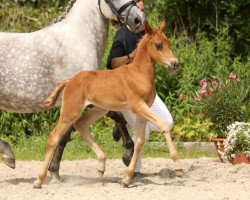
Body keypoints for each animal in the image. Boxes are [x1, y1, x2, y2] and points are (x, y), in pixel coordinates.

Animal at [0, 0, 146, 177]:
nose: (139, 19)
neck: (77, 41)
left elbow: (65, 135)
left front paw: (54, 170)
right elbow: (116, 116)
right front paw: (127, 153)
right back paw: (9, 156)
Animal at [33, 21, 182, 188]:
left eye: (168, 43)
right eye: (158, 45)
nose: (175, 64)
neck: (138, 74)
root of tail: (69, 80)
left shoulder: (143, 111)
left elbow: (139, 141)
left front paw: (127, 179)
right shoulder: (138, 106)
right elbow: (163, 125)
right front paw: (178, 167)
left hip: (98, 110)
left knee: (81, 125)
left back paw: (101, 166)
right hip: (71, 111)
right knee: (54, 137)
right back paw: (38, 180)